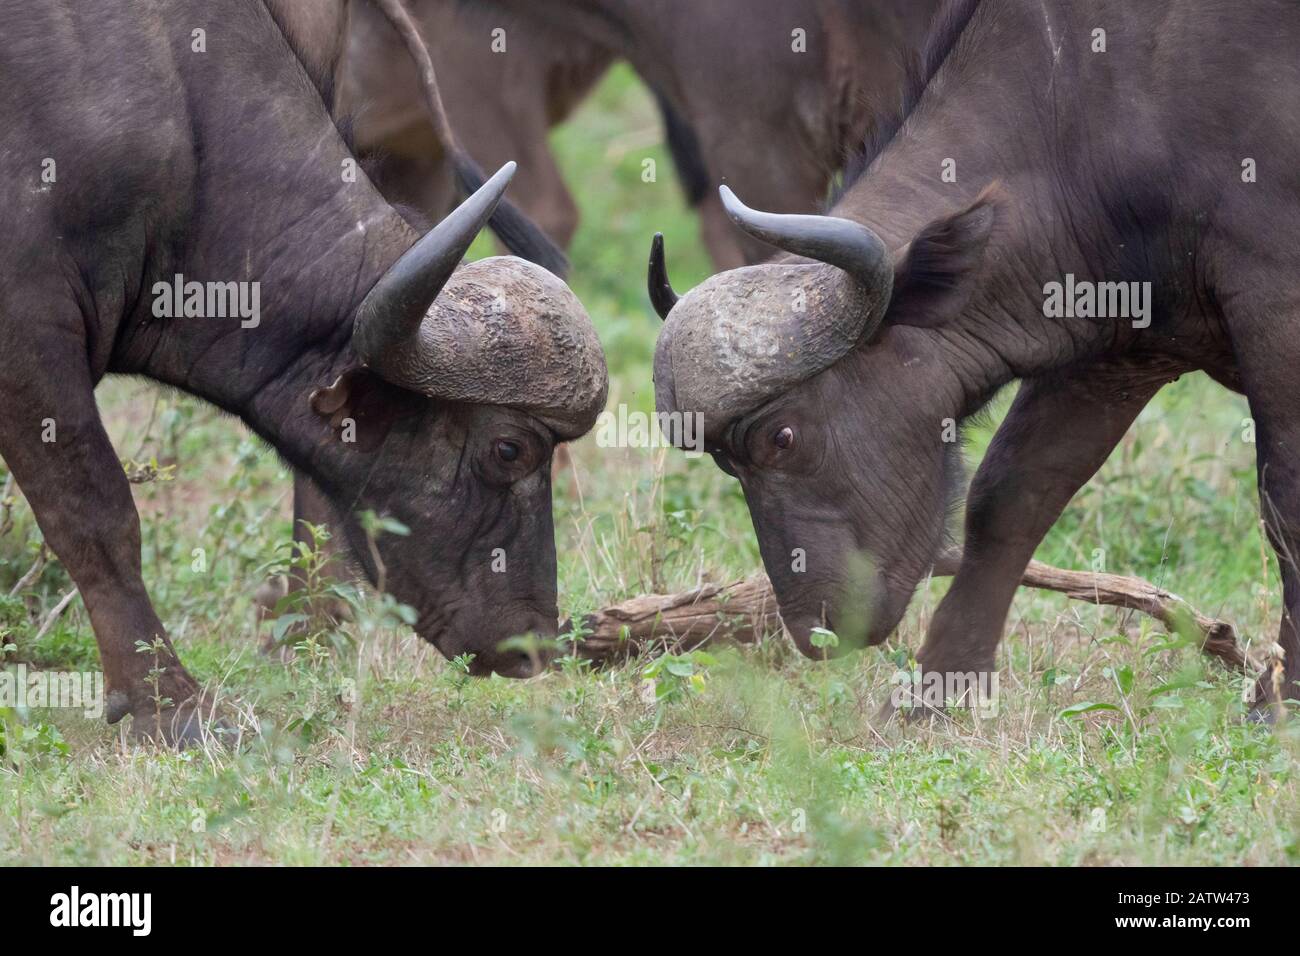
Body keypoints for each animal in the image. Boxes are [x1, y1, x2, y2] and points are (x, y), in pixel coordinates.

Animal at [655, 0, 1300, 717]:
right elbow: (1012, 492)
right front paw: (939, 687)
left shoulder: (1279, 307)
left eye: (783, 436)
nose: (816, 632)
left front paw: (1280, 694)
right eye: (723, 461)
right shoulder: (1121, 346)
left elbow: (1286, 502)